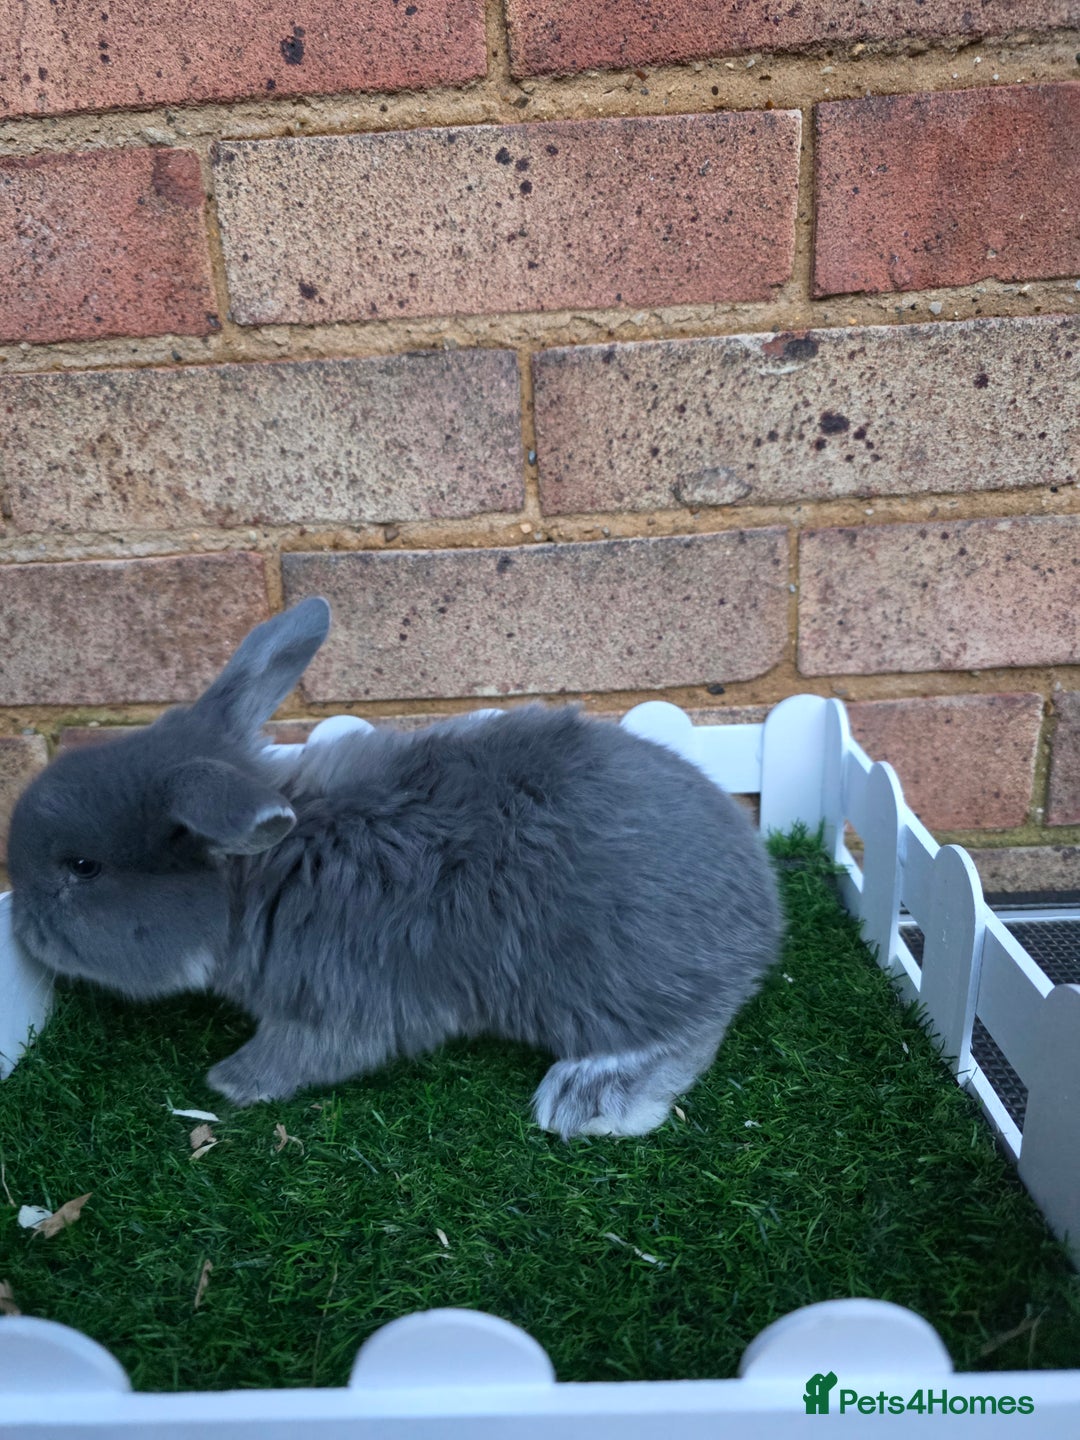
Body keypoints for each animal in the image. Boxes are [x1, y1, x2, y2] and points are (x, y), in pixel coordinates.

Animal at [7, 599, 782, 1138]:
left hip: (609, 976)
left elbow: (300, 1056)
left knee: (691, 1030)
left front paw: (229, 1082)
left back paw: (587, 1098)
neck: (259, 878)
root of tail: (764, 915)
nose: (23, 928)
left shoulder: (337, 1006)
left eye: (83, 867)